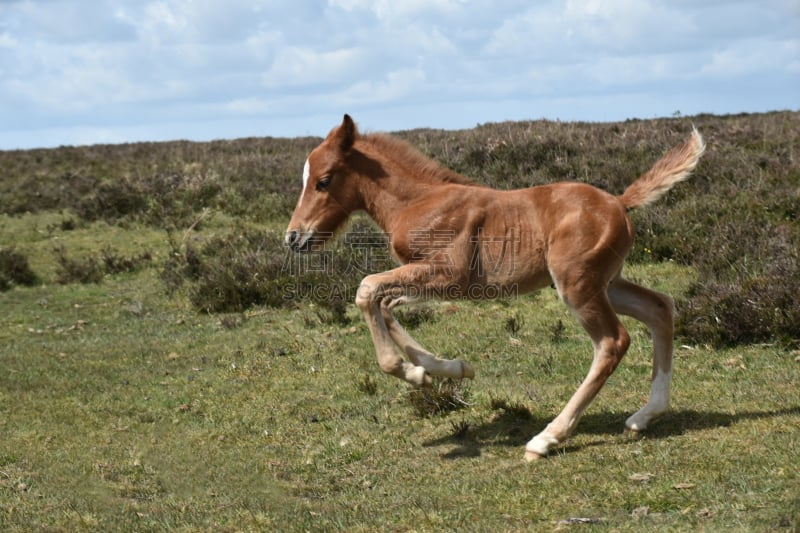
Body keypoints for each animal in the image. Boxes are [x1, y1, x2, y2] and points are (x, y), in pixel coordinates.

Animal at [288, 114, 708, 460]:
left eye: (323, 181)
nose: (294, 237)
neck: (421, 201)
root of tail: (620, 203)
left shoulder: (449, 274)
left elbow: (366, 289)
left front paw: (410, 371)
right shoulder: (432, 280)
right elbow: (386, 304)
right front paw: (444, 370)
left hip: (576, 284)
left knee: (612, 341)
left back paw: (548, 438)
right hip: (607, 282)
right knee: (659, 308)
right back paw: (645, 415)